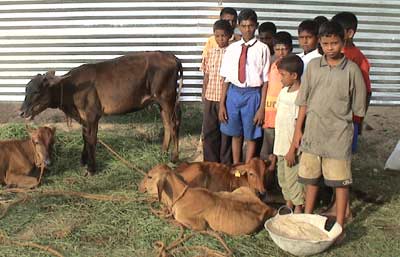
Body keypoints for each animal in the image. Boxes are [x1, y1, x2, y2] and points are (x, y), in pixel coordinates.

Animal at [18, 52, 181, 176]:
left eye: (36, 91)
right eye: (26, 89)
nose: (21, 111)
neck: (72, 89)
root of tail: (171, 56)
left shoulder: (92, 115)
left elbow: (91, 140)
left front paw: (91, 168)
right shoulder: (84, 118)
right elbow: (85, 137)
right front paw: (83, 161)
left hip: (167, 98)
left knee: (174, 124)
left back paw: (174, 158)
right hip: (161, 102)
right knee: (167, 123)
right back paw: (163, 152)